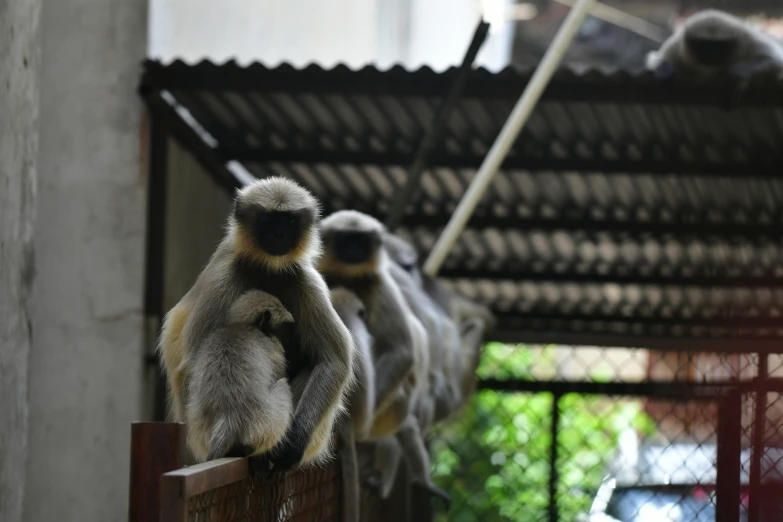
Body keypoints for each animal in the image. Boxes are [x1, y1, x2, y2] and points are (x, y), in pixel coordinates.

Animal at [187, 290, 298, 462]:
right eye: (286, 327)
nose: (291, 339)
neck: (245, 326)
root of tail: (229, 415)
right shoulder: (273, 346)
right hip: (266, 420)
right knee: (282, 385)